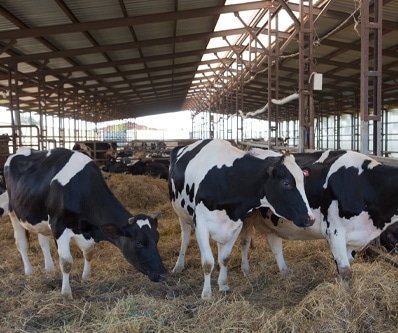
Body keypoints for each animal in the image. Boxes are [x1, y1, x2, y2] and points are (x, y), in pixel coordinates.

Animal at [4, 146, 167, 296]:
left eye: (157, 238)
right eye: (139, 242)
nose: (163, 275)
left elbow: (88, 253)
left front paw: (86, 276)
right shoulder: (58, 226)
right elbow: (66, 262)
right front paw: (66, 293)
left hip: (39, 218)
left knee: (43, 242)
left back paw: (49, 269)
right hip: (13, 212)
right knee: (21, 243)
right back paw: (29, 270)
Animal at [168, 139, 314, 300]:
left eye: (303, 182)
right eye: (286, 183)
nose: (310, 218)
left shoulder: (235, 225)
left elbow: (225, 258)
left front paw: (223, 285)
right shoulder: (201, 224)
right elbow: (207, 262)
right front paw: (206, 294)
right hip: (181, 214)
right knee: (185, 238)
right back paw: (178, 266)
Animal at [241, 149, 398, 284]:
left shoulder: (357, 237)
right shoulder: (334, 231)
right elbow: (345, 271)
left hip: (271, 222)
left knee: (275, 245)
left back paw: (285, 274)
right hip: (245, 218)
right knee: (245, 242)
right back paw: (246, 270)